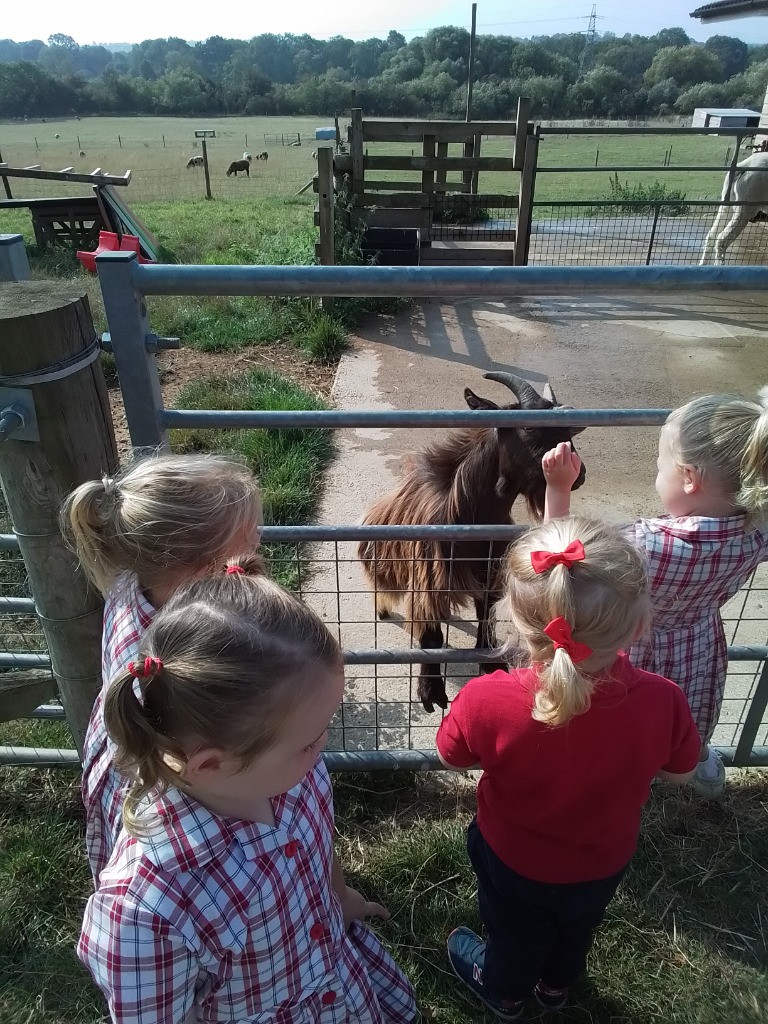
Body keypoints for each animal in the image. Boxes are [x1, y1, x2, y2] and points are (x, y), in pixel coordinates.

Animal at [358, 372, 585, 716]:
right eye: (529, 427)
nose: (579, 474)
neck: (470, 513)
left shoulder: (489, 572)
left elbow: (485, 616)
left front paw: (490, 664)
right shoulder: (429, 576)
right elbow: (430, 633)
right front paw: (430, 690)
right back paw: (382, 607)